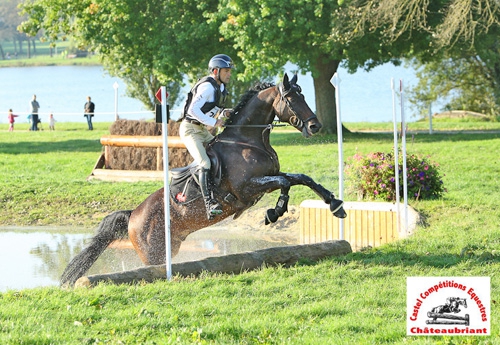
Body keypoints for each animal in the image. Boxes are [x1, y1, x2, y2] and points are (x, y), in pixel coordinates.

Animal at [60, 72, 346, 284]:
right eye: (290, 98)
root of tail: (132, 215)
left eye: (303, 95)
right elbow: (286, 184)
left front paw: (335, 205)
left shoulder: (270, 176)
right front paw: (274, 213)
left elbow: (301, 178)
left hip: (171, 245)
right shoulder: (247, 188)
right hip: (153, 252)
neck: (248, 140)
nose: (315, 126)